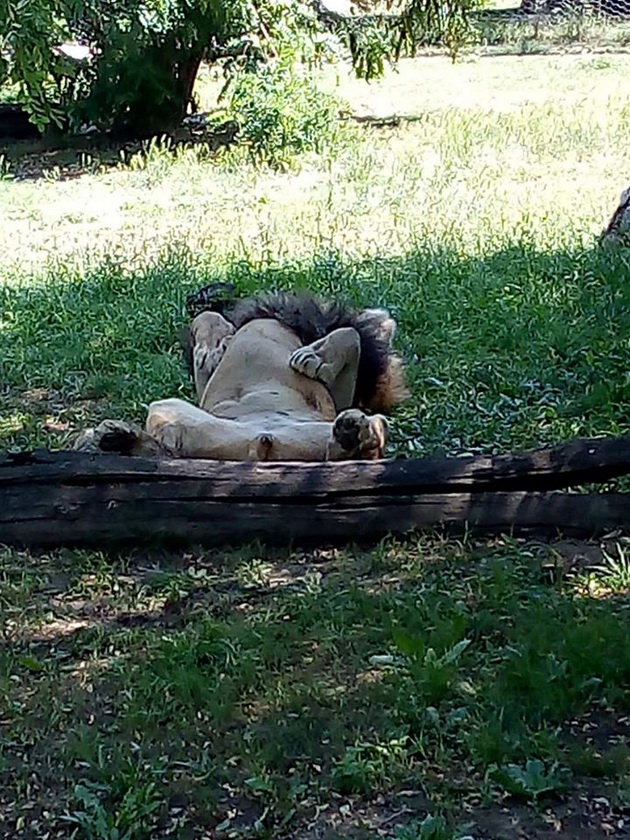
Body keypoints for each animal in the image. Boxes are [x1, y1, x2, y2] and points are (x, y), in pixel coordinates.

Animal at [74, 288, 410, 460]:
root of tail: (259, 447)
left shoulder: (338, 396)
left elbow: (349, 334)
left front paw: (314, 356)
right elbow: (206, 317)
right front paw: (213, 345)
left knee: (370, 440)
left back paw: (355, 433)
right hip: (170, 408)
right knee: (166, 448)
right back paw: (114, 437)